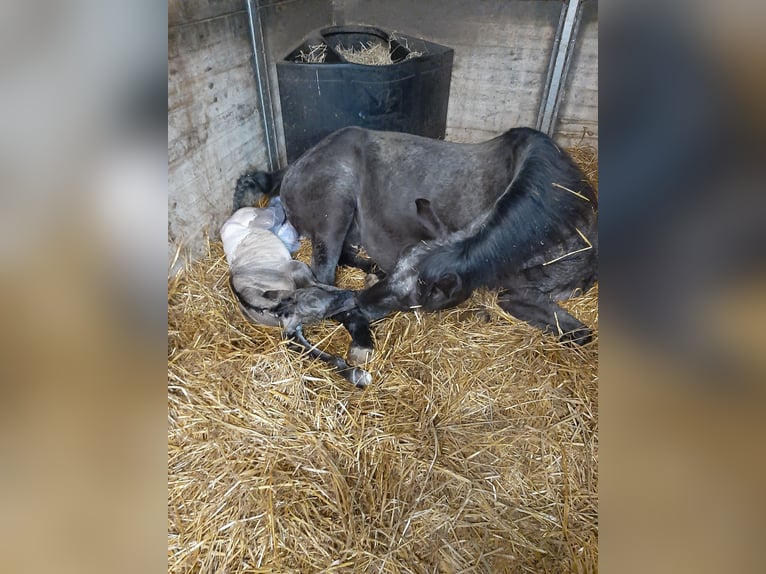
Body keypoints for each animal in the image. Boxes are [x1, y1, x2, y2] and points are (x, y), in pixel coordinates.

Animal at [220, 205, 374, 390]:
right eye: (319, 315)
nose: (352, 296)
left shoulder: (301, 272)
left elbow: (326, 285)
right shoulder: (293, 330)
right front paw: (357, 375)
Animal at [236, 124, 600, 372]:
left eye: (418, 298)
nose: (360, 304)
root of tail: (294, 165)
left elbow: (580, 333)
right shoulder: (510, 294)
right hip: (335, 209)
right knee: (323, 277)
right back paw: (360, 341)